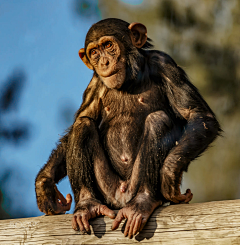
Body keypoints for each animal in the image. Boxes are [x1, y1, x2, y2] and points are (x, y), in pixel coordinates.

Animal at [35, 18, 221, 238]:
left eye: (108, 45)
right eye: (94, 52)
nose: (104, 62)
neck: (130, 79)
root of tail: (121, 199)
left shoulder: (165, 64)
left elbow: (197, 114)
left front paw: (169, 174)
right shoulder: (94, 84)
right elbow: (81, 118)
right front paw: (44, 184)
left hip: (133, 186)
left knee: (158, 119)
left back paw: (143, 202)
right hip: (106, 191)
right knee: (83, 126)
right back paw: (87, 205)